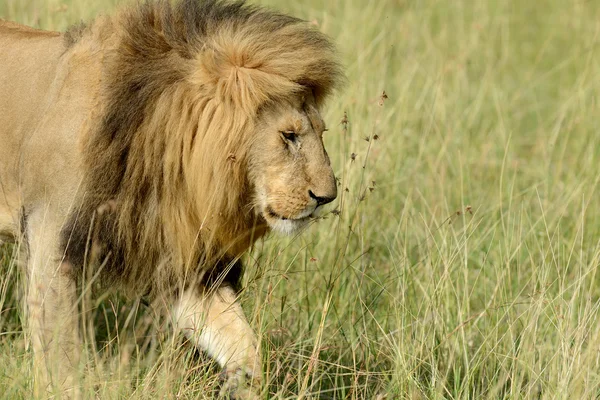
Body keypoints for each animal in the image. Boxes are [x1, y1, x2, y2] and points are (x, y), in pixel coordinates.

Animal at [0, 0, 342, 396]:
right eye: (289, 136)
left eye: (322, 132)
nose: (326, 197)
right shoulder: (50, 244)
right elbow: (62, 358)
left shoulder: (180, 261)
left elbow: (243, 343)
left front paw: (241, 382)